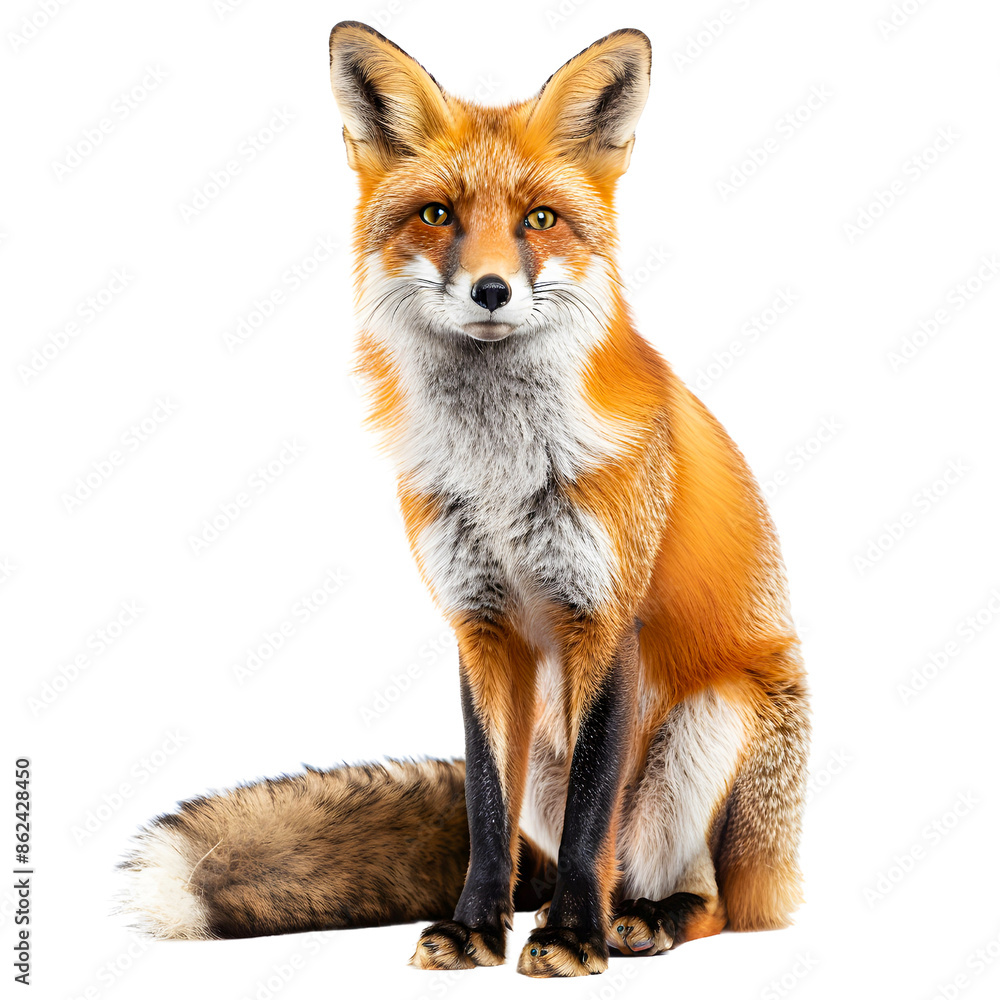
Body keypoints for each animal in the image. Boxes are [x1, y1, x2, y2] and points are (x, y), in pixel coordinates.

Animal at [118, 22, 809, 978]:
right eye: (438, 215)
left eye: (540, 220)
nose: (490, 291)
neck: (502, 474)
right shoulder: (480, 624)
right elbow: (484, 803)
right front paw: (478, 927)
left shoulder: (605, 618)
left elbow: (595, 811)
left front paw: (570, 936)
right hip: (549, 759)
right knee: (558, 849)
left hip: (715, 723)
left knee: (704, 896)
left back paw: (637, 919)